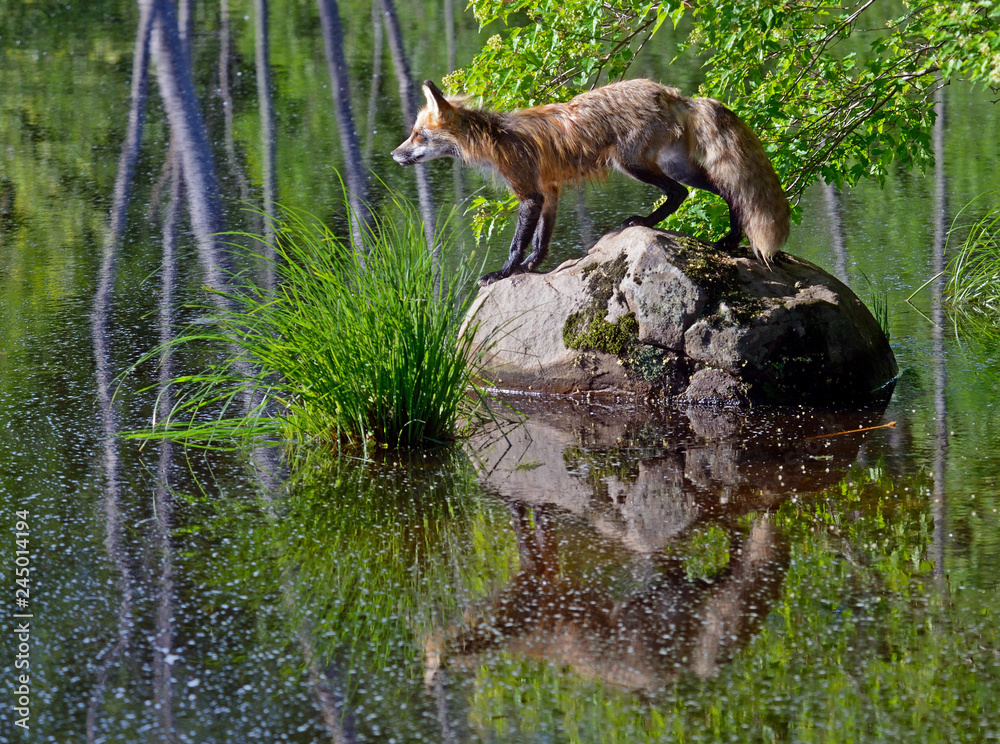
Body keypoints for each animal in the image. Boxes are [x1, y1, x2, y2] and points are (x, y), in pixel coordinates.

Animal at [391, 78, 790, 286]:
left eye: (417, 135)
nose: (394, 155)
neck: (496, 139)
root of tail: (675, 94)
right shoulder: (549, 192)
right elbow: (541, 242)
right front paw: (531, 268)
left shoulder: (529, 193)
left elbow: (517, 243)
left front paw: (505, 272)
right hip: (675, 166)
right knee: (721, 192)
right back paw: (729, 239)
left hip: (631, 163)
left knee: (686, 193)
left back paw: (645, 223)